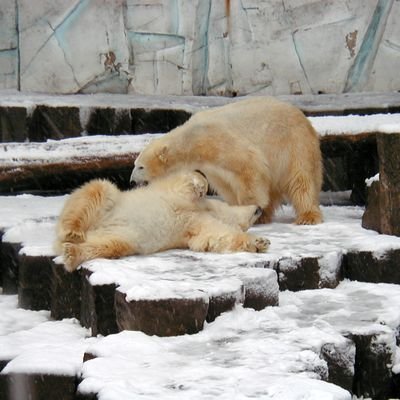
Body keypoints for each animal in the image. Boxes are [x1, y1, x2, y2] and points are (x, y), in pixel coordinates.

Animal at [54, 170, 270, 272]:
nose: (259, 208)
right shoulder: (176, 193)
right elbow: (188, 181)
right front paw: (200, 183)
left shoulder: (195, 224)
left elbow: (216, 236)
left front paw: (260, 242)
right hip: (110, 204)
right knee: (98, 190)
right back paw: (72, 231)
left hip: (124, 235)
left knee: (112, 245)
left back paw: (72, 252)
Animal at [130, 95, 324, 223]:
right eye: (135, 164)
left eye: (140, 167)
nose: (131, 181)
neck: (193, 139)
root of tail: (305, 120)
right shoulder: (212, 167)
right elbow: (226, 184)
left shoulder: (217, 141)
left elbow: (250, 166)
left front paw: (249, 207)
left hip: (293, 144)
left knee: (301, 179)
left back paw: (307, 216)